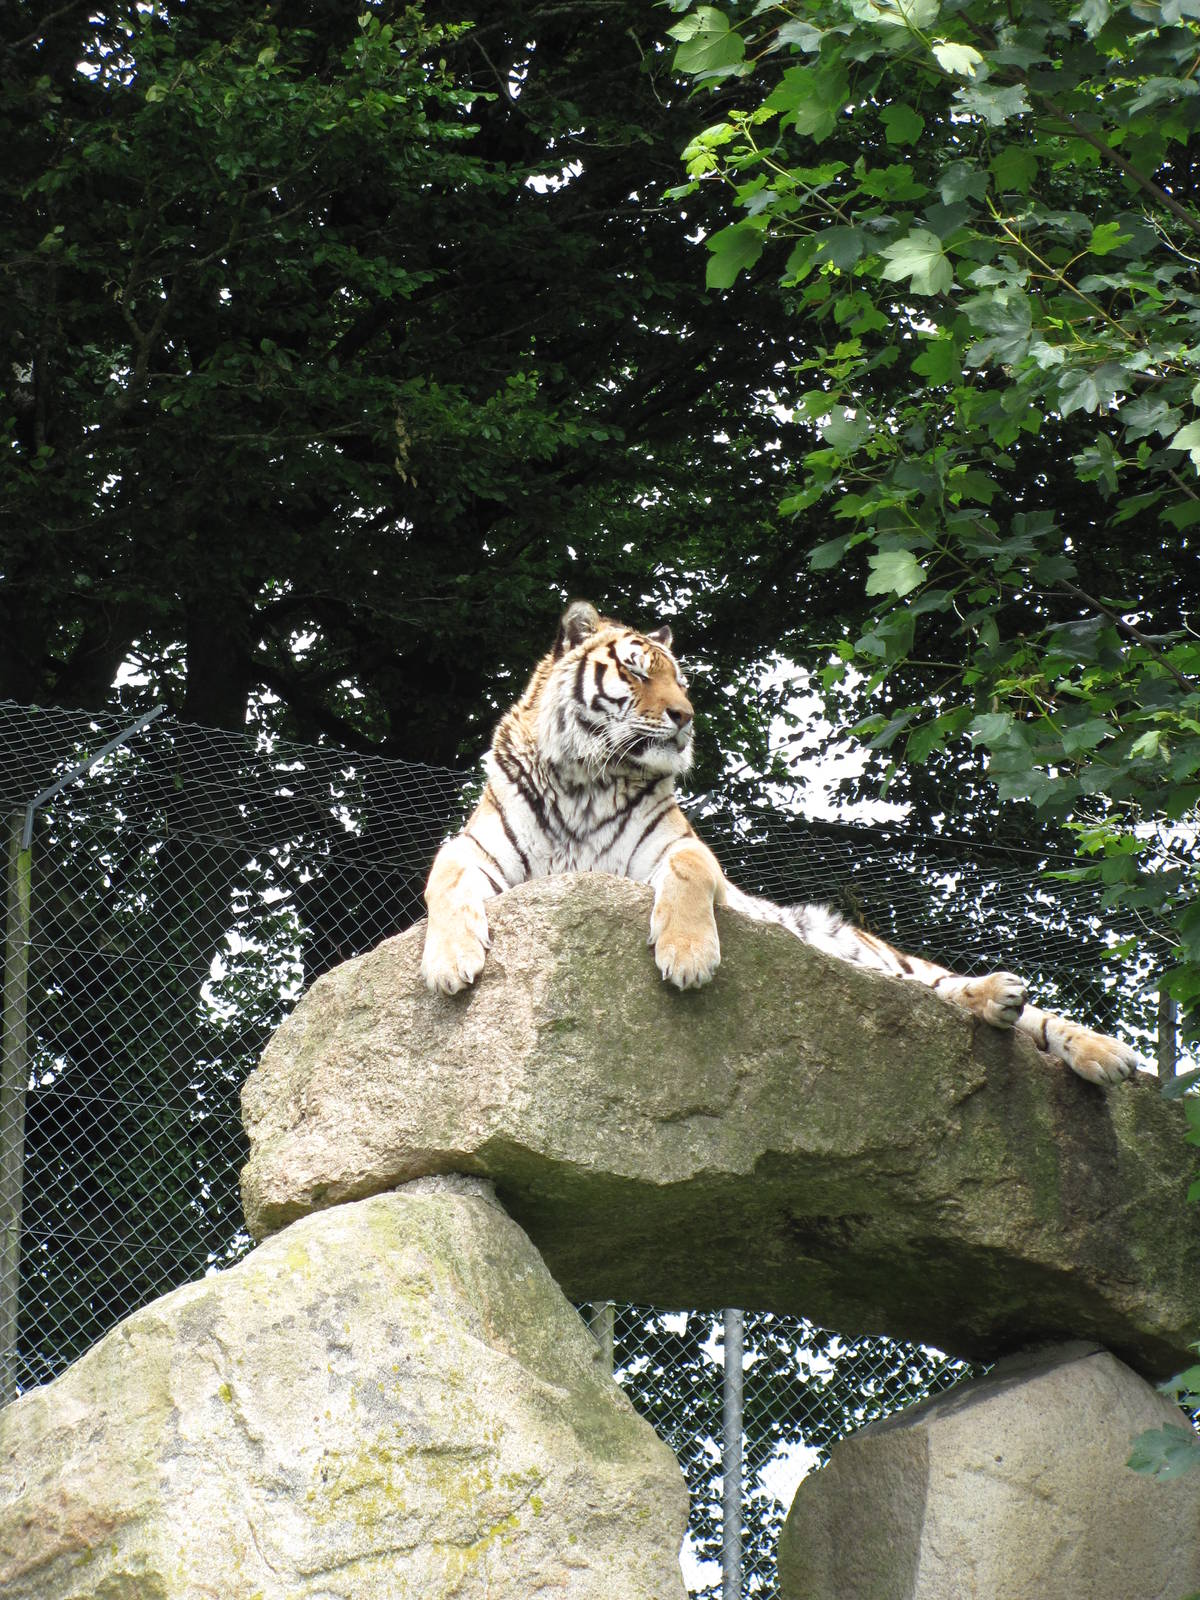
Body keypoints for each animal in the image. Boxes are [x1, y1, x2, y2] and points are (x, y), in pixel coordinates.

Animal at [421, 600, 1143, 1088]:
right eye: (638, 671)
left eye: (681, 680)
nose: (686, 717)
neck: (587, 778)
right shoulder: (476, 850)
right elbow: (444, 881)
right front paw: (451, 963)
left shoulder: (676, 852)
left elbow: (688, 871)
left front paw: (687, 956)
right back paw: (1000, 1004)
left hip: (880, 954)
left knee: (987, 999)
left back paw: (1100, 1050)